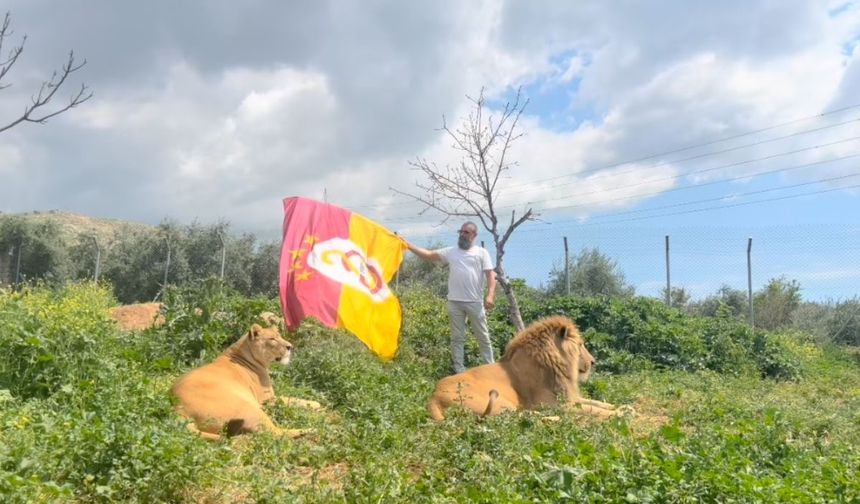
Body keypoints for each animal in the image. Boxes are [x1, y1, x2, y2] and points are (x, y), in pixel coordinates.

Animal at [170, 314, 320, 440]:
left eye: (280, 336)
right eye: (272, 339)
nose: (290, 346)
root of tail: (178, 409)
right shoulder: (267, 400)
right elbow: (291, 400)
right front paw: (317, 405)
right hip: (251, 407)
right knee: (276, 433)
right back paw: (309, 430)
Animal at [426, 316, 628, 422]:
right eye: (580, 345)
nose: (593, 362)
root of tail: (433, 398)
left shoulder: (569, 397)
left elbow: (598, 402)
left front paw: (623, 406)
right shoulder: (556, 404)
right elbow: (593, 409)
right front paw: (620, 414)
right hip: (500, 403)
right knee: (520, 418)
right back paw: (556, 419)